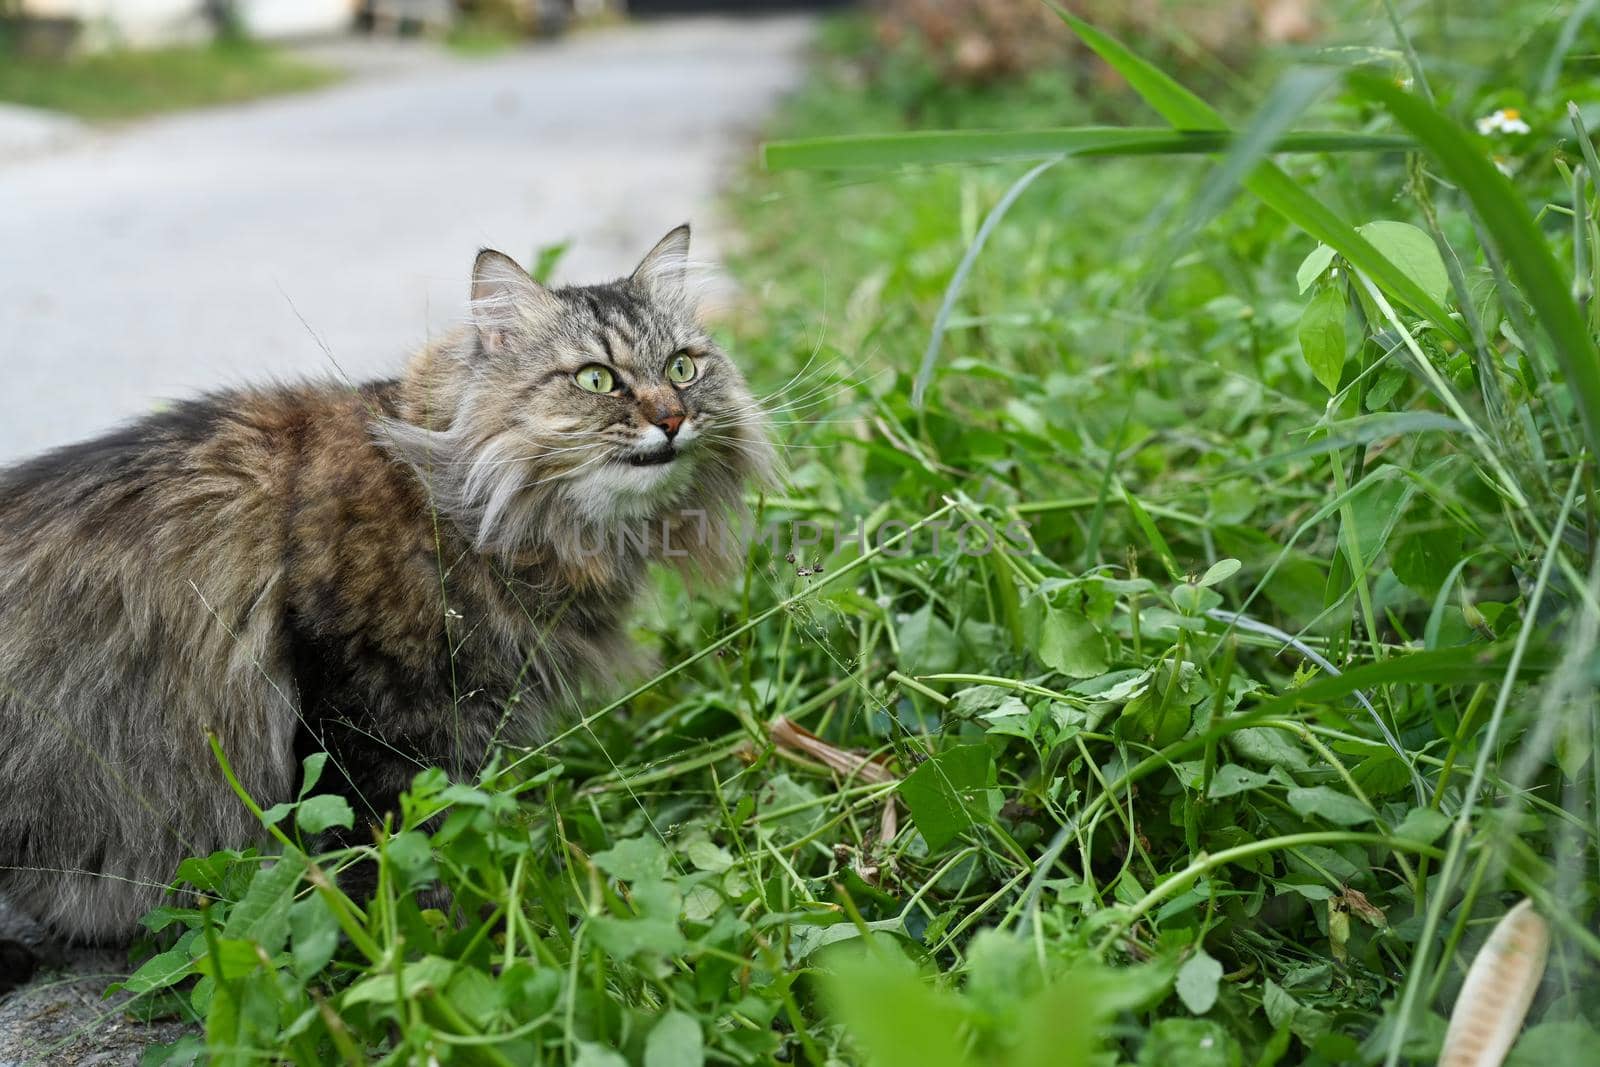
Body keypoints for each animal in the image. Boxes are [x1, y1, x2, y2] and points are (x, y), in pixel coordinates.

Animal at [0, 227, 774, 940]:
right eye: (596, 379)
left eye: (682, 367)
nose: (672, 417)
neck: (463, 500)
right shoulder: (373, 729)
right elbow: (401, 871)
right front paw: (445, 944)